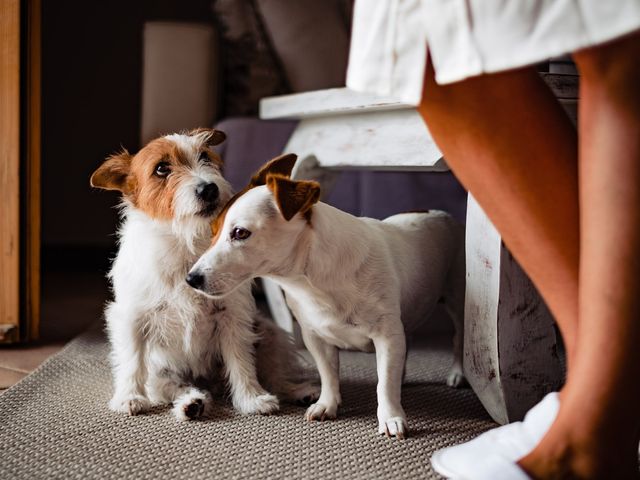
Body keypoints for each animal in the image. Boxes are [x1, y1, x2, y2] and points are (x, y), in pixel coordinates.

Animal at [90, 130, 318, 420]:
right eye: (162, 168)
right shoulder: (133, 317)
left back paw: (300, 392)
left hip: (268, 335)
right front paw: (129, 398)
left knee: (274, 375)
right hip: (160, 370)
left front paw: (251, 399)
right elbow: (132, 361)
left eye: (205, 157)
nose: (208, 188)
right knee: (173, 385)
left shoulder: (232, 316)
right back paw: (192, 402)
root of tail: (212, 384)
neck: (186, 241)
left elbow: (241, 361)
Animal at [185, 157, 464, 438]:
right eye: (212, 232)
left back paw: (457, 374)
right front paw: (327, 404)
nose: (191, 279)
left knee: (457, 338)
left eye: (240, 233)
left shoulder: (386, 336)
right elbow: (328, 374)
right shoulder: (316, 336)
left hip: (456, 303)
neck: (312, 282)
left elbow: (384, 383)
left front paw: (391, 417)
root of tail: (438, 212)